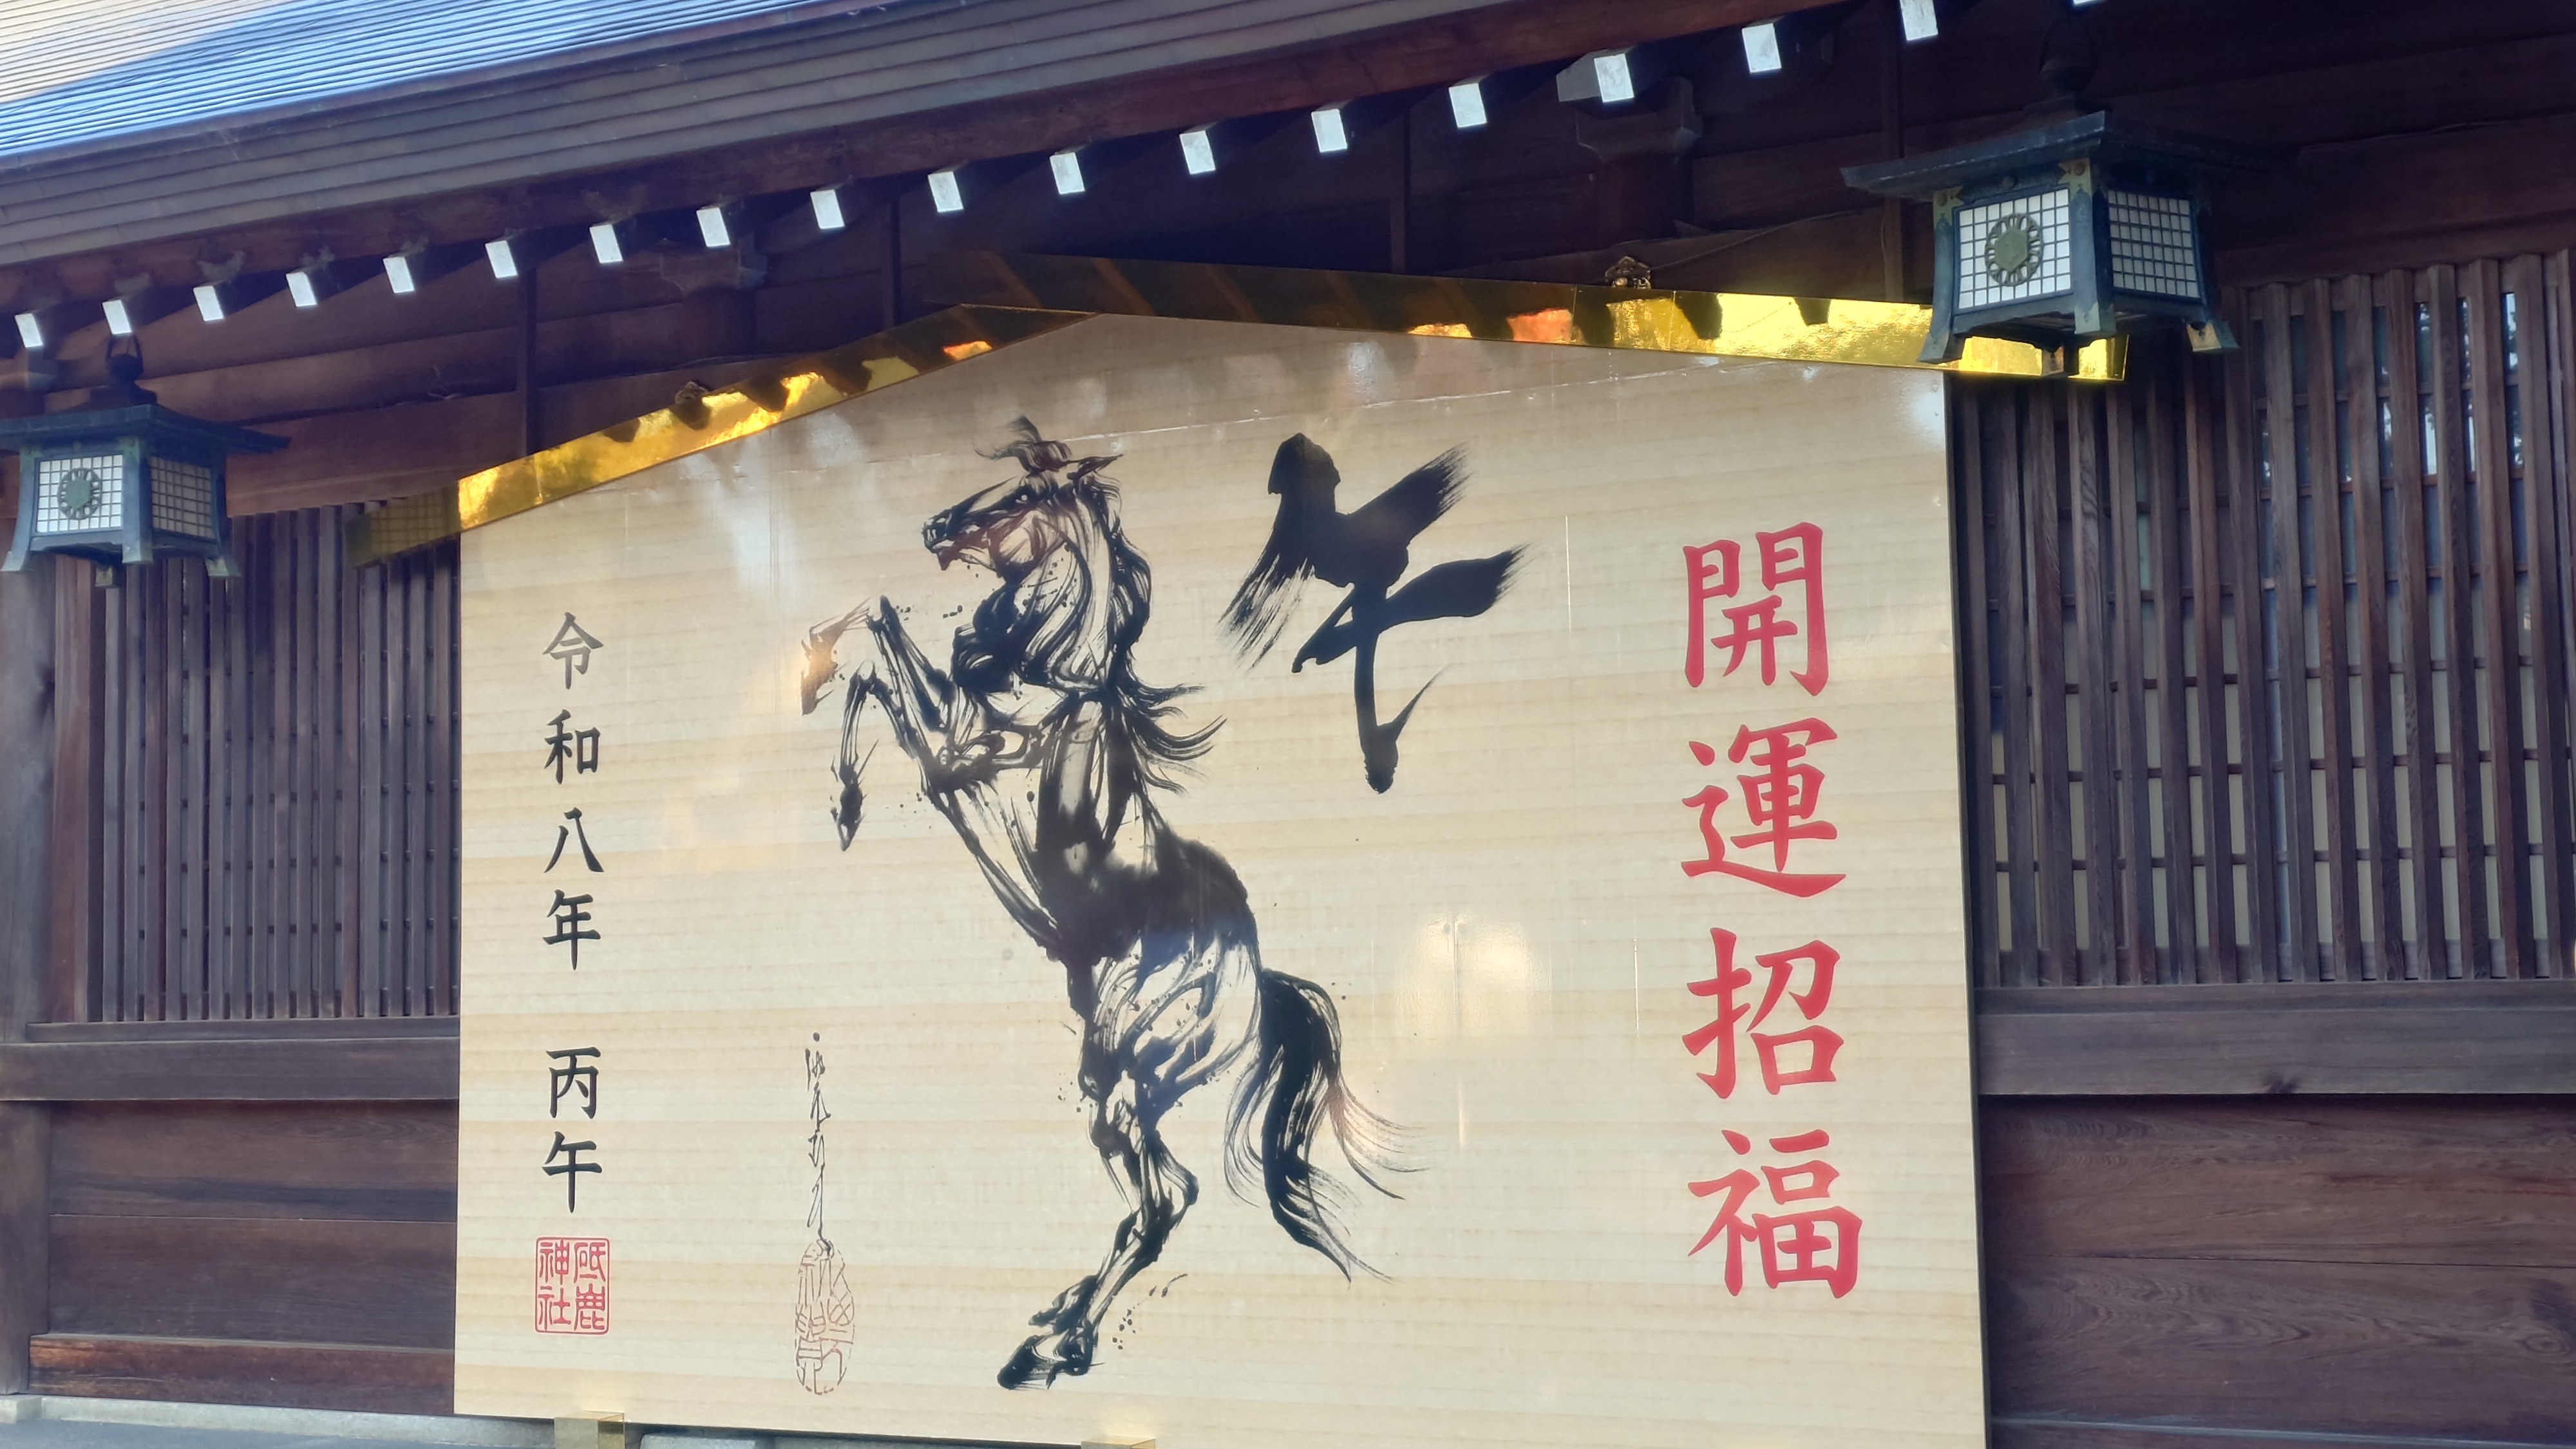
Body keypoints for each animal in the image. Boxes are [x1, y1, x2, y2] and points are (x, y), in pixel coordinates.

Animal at [796, 419, 1401, 1389]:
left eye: (1022, 495)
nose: (934, 526)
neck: (1058, 681)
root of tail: (1255, 982)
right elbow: (878, 646)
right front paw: (823, 718)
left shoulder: (954, 752)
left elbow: (883, 642)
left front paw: (842, 787)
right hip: (1116, 1080)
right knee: (1152, 1201)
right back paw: (1056, 1319)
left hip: (1128, 1079)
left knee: (1167, 1198)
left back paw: (1054, 1349)